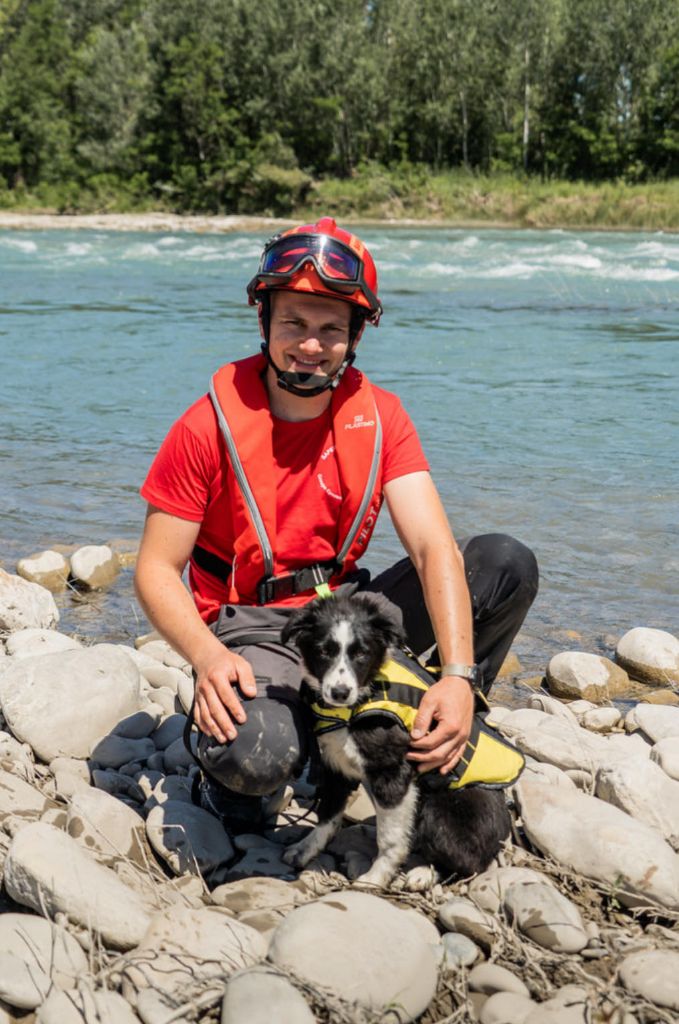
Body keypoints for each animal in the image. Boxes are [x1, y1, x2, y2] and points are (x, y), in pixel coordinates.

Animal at [280, 593, 510, 888]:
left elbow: (390, 839)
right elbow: (328, 815)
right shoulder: (334, 764)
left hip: (438, 811)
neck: (355, 707)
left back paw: (425, 873)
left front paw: (375, 877)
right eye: (323, 651)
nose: (340, 692)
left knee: (471, 864)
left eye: (362, 653)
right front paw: (306, 849)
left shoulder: (393, 774)